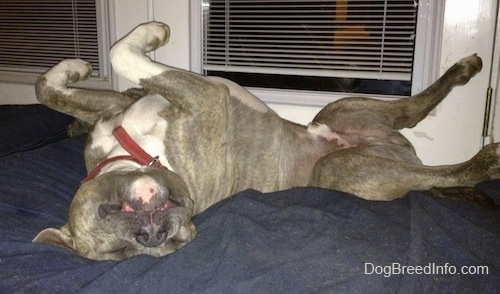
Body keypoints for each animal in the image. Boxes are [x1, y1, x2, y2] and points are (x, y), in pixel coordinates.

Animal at [33, 21, 498, 260]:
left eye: (108, 209)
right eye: (125, 253)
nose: (153, 234)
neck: (139, 152)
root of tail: (402, 149)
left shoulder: (116, 106)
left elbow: (51, 88)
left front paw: (76, 67)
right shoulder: (205, 99)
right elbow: (119, 56)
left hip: (344, 109)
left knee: (415, 111)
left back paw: (464, 70)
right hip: (346, 164)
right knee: (444, 173)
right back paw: (487, 157)